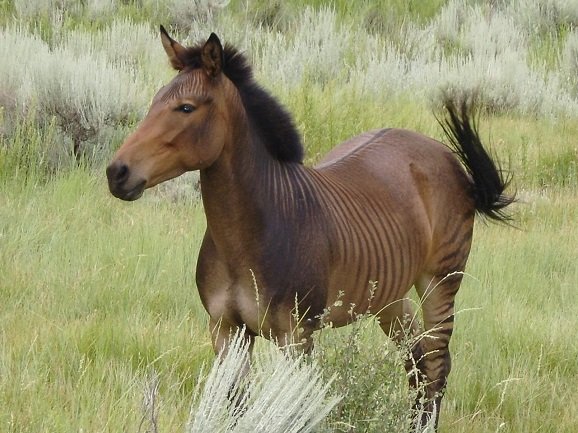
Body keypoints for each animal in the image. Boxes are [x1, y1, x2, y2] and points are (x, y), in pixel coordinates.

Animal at [106, 27, 510, 428]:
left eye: (185, 108)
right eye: (154, 102)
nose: (116, 173)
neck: (247, 237)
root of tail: (442, 153)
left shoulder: (296, 336)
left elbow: (292, 410)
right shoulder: (225, 330)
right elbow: (237, 407)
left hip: (440, 283)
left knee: (437, 364)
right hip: (390, 295)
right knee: (418, 359)